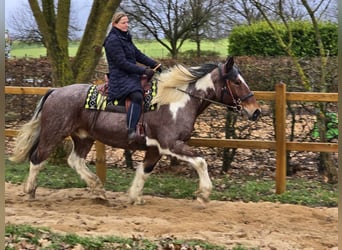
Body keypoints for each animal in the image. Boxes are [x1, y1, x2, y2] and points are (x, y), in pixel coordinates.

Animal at [10, 55, 262, 204]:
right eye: (237, 82)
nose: (256, 111)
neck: (178, 101)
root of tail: (55, 91)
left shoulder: (155, 148)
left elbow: (144, 170)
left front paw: (134, 197)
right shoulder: (171, 144)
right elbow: (200, 161)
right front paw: (204, 194)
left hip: (83, 137)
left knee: (75, 161)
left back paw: (98, 190)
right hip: (53, 133)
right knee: (37, 158)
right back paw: (30, 191)